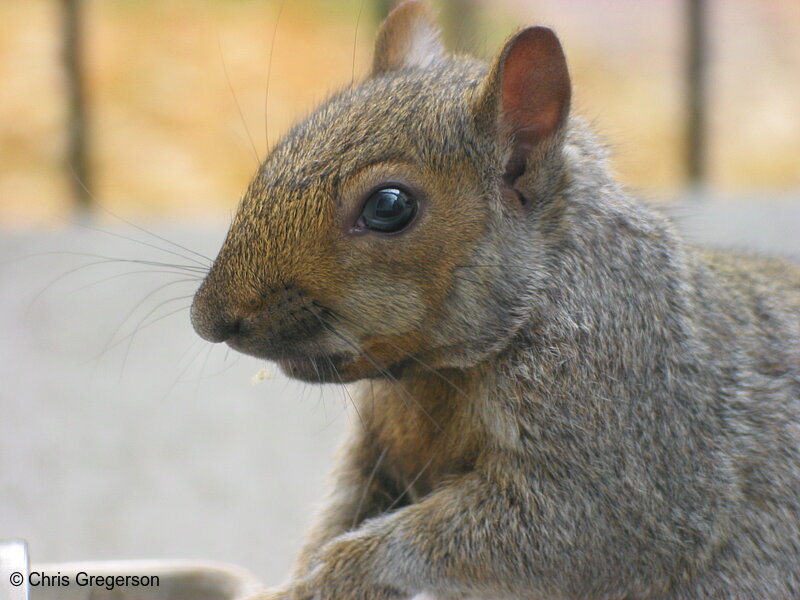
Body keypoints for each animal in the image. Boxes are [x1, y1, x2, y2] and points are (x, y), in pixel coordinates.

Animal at [189, 2, 800, 596]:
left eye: (389, 206)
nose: (208, 320)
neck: (433, 377)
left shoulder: (627, 433)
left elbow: (566, 527)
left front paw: (340, 571)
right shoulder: (377, 452)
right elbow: (344, 505)